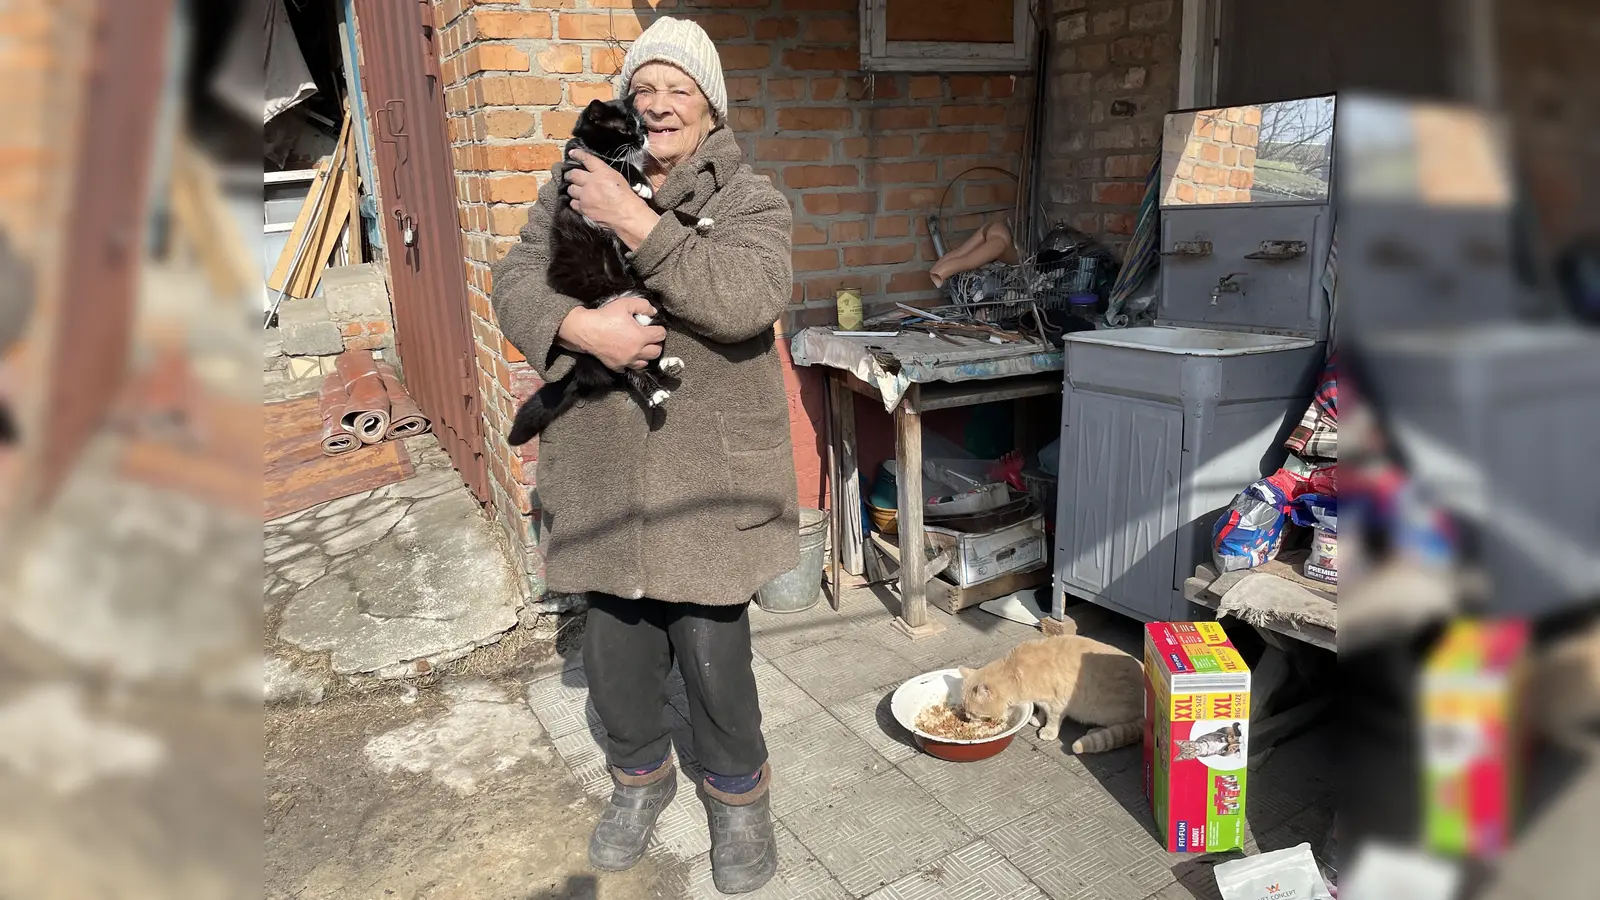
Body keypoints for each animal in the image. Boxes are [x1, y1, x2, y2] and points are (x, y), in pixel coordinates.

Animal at [508, 98, 684, 445]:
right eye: (625, 129)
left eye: (642, 126)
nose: (643, 138)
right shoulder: (577, 167)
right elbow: (619, 170)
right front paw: (638, 180)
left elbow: (664, 212)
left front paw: (699, 222)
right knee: (626, 370)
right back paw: (654, 391)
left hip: (650, 304)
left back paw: (668, 365)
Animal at [953, 630, 1145, 749]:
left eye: (974, 713)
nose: (967, 718)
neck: (1016, 673)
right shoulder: (1043, 700)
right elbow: (1042, 710)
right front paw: (1038, 719)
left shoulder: (1058, 703)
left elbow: (1053, 718)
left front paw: (1048, 731)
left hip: (1106, 710)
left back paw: (1095, 730)